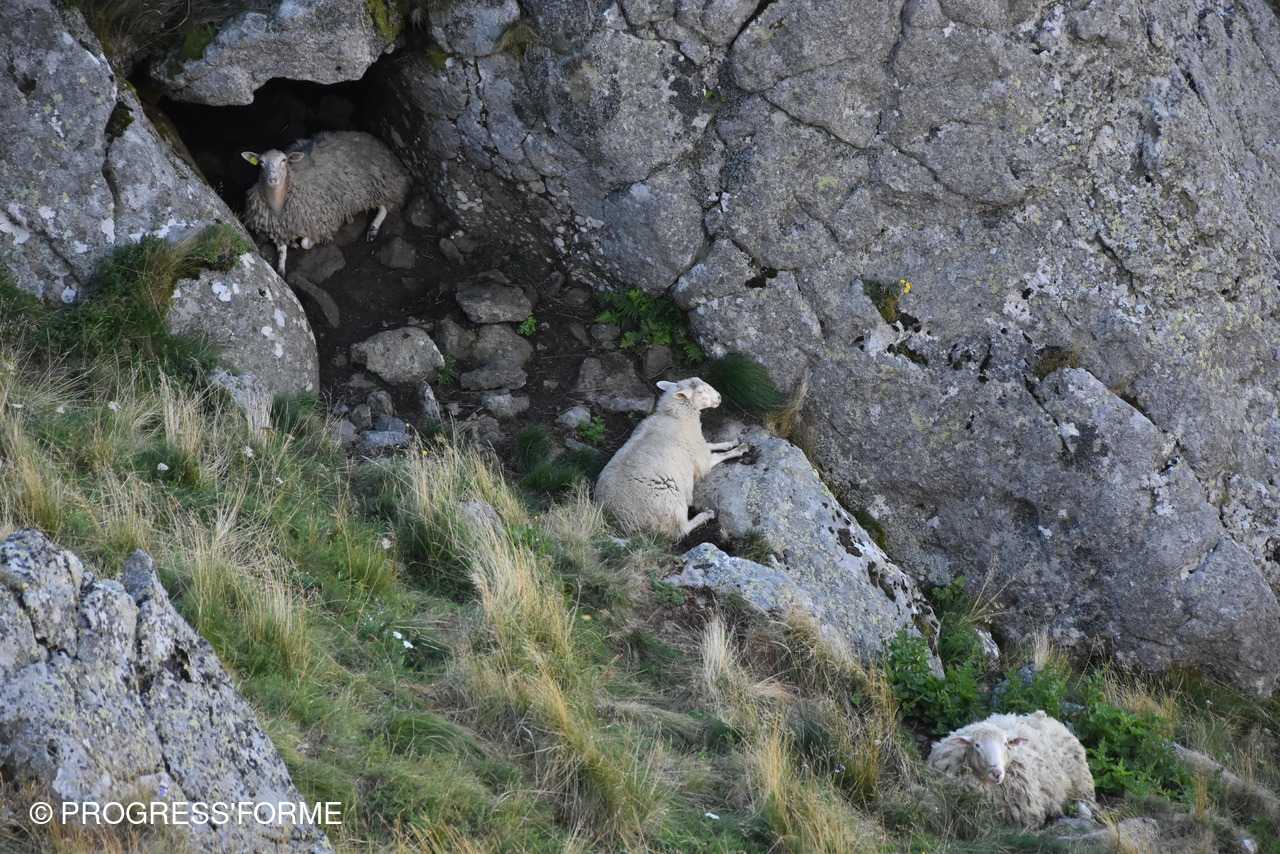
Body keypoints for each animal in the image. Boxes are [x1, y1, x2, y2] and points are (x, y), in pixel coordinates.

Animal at [240, 130, 412, 275]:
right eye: (261, 163)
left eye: (284, 160)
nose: (273, 180)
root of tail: (373, 139)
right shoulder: (277, 228)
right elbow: (281, 250)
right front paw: (281, 271)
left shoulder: (319, 222)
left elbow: (305, 243)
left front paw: (311, 242)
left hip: (381, 183)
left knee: (385, 206)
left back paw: (373, 229)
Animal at [595, 378, 748, 539]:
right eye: (700, 391)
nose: (719, 397)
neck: (676, 416)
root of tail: (618, 521)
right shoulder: (700, 459)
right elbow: (719, 455)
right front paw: (740, 449)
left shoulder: (698, 446)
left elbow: (712, 444)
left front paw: (732, 442)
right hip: (672, 504)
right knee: (682, 530)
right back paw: (707, 514)